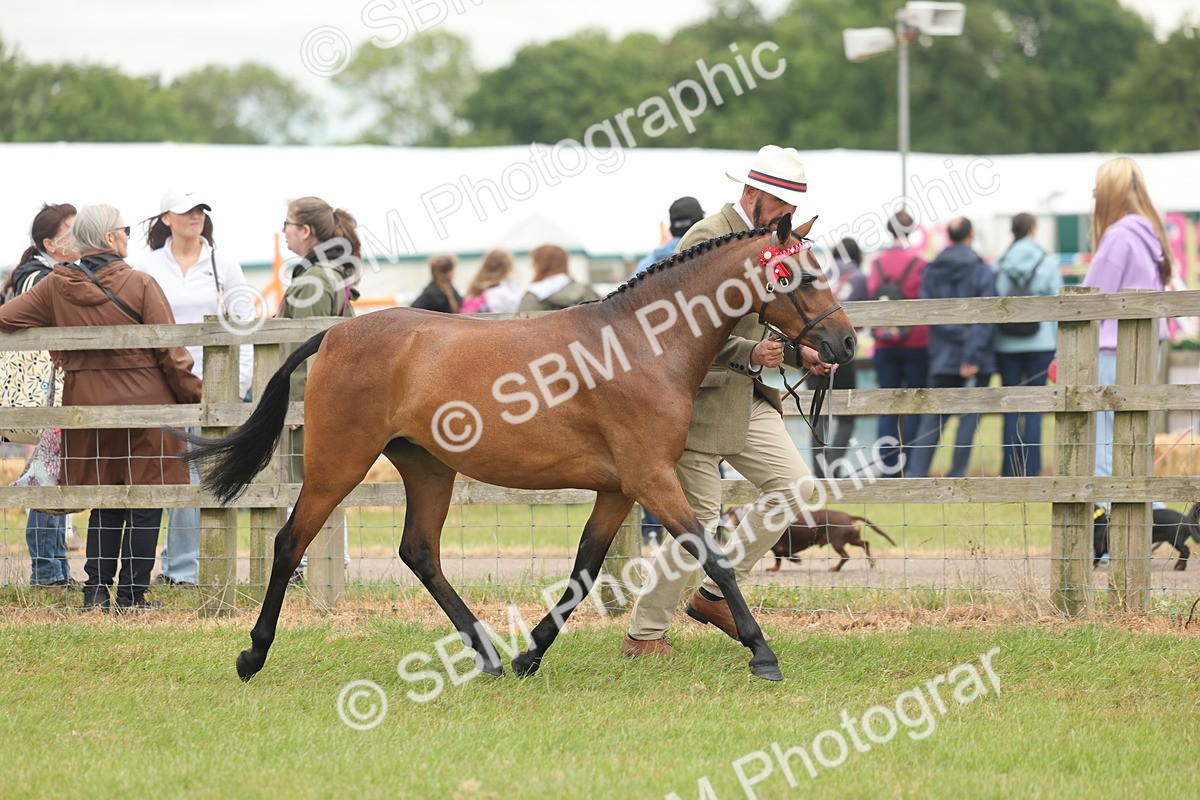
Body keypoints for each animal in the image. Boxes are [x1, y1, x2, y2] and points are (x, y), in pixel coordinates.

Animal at [185, 213, 857, 683]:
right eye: (799, 275)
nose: (845, 344)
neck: (642, 343)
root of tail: (335, 333)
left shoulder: (619, 488)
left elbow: (584, 569)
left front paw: (530, 655)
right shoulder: (651, 478)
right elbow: (711, 555)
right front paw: (762, 651)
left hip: (428, 469)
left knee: (419, 552)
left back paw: (487, 653)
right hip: (338, 464)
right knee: (289, 541)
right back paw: (253, 655)